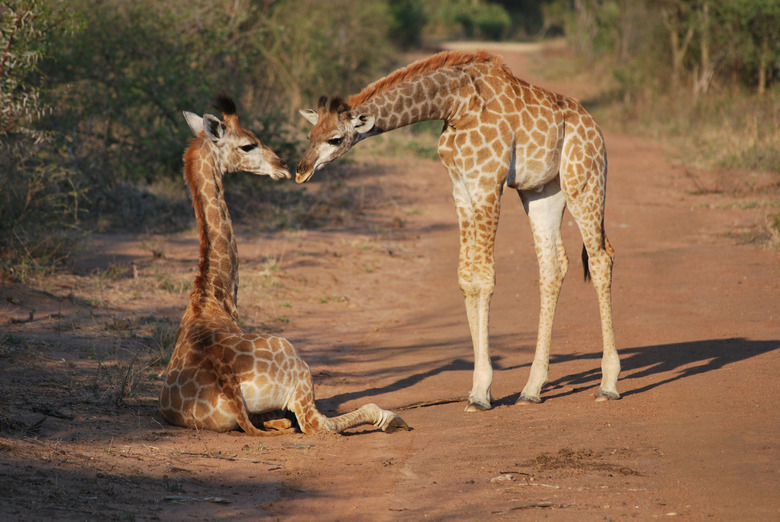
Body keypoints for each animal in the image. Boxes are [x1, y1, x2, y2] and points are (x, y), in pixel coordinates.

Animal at [161, 94, 412, 434]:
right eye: (248, 145)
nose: (281, 167)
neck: (210, 298)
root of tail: (229, 389)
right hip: (299, 367)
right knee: (316, 423)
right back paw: (391, 418)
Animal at [296, 50, 620, 408]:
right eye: (309, 136)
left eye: (335, 138)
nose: (300, 171)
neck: (456, 104)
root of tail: (595, 127)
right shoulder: (461, 188)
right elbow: (467, 278)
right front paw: (480, 387)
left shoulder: (487, 183)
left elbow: (485, 277)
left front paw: (480, 392)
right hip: (542, 191)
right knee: (552, 266)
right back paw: (531, 389)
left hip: (584, 181)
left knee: (600, 258)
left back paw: (608, 383)